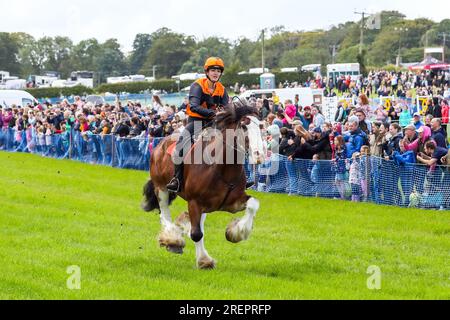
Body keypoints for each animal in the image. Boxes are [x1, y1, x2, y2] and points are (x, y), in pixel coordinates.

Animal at [142, 101, 266, 268]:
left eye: (261, 126)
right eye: (244, 126)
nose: (260, 156)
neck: (221, 168)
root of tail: (160, 143)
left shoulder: (233, 203)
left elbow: (253, 204)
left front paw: (236, 232)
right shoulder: (194, 202)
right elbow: (196, 234)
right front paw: (204, 260)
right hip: (161, 187)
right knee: (164, 212)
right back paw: (173, 240)